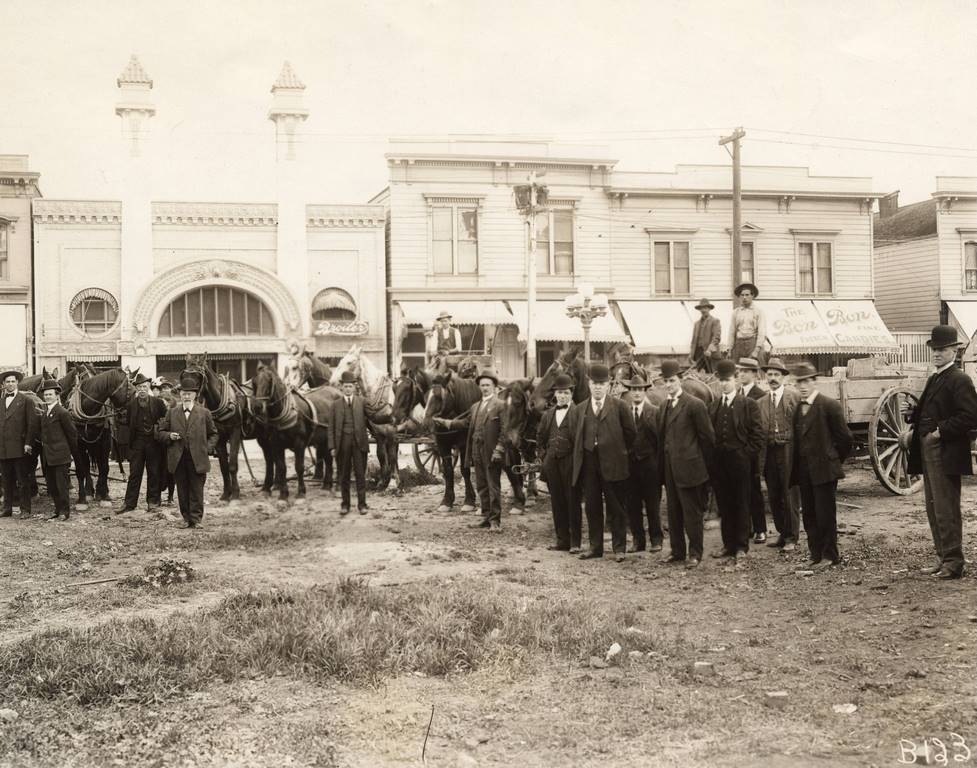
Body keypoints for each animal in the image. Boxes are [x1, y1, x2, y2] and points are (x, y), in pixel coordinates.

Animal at [66, 368, 134, 508]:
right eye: (131, 391)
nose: (126, 416)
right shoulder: (77, 445)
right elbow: (81, 469)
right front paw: (82, 498)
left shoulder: (105, 442)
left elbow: (104, 467)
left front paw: (103, 496)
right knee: (86, 466)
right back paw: (88, 491)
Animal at [183, 354, 246, 504]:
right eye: (183, 374)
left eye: (198, 375)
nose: (186, 391)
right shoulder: (218, 438)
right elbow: (223, 467)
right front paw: (226, 494)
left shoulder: (235, 433)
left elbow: (232, 465)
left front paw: (235, 494)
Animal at [330, 344, 398, 488]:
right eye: (340, 360)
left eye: (349, 362)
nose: (332, 381)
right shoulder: (379, 434)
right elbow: (381, 455)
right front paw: (382, 481)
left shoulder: (391, 432)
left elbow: (392, 456)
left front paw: (393, 483)